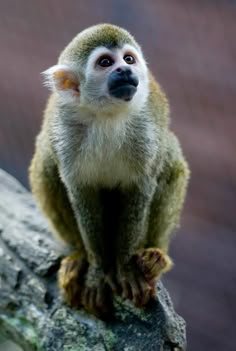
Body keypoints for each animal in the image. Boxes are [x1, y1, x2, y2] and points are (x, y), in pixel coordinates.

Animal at [29, 24, 191, 320]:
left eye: (128, 59)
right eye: (105, 63)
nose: (125, 70)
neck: (107, 116)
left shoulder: (146, 133)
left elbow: (140, 188)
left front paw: (126, 268)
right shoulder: (66, 134)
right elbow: (80, 192)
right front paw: (96, 271)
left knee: (170, 159)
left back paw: (154, 257)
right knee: (46, 160)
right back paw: (79, 256)